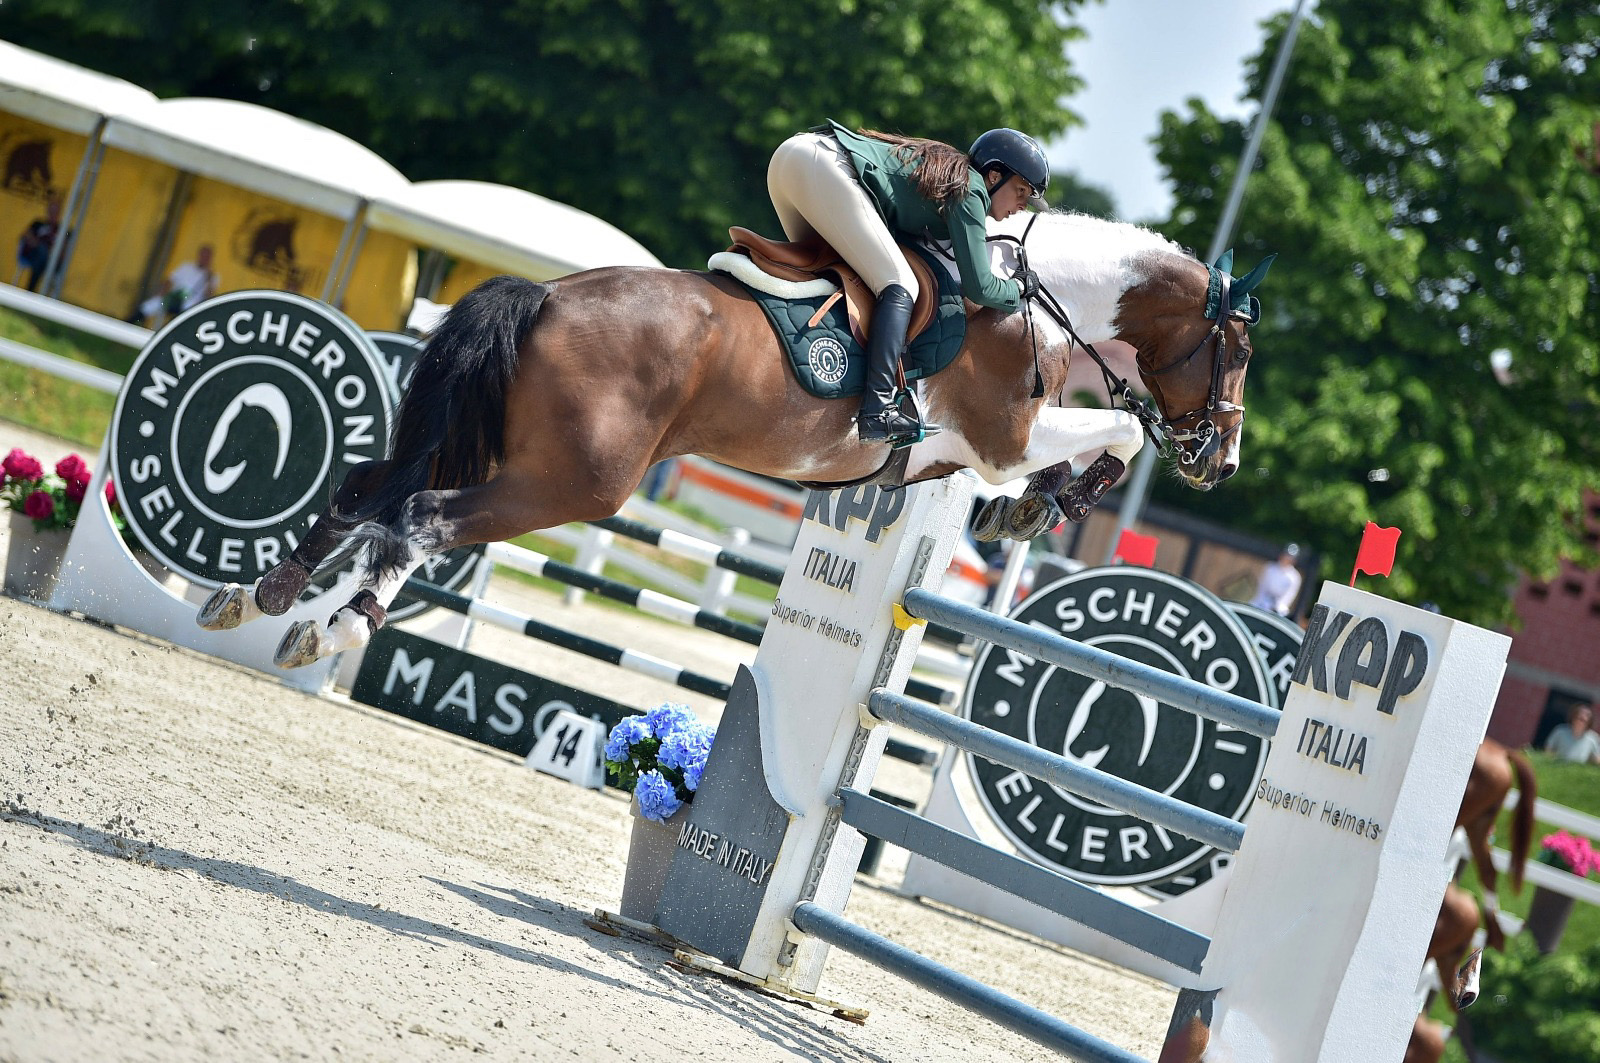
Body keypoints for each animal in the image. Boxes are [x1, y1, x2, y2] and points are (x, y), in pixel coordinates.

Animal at [196, 211, 1273, 669]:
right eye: (1239, 350)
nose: (1219, 459)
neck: (1031, 297)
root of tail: (546, 293)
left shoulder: (944, 454)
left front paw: (1026, 513)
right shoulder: (1001, 434)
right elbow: (1112, 433)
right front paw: (1050, 501)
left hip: (505, 448)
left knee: (366, 490)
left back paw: (259, 596)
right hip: (572, 481)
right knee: (421, 515)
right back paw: (333, 626)